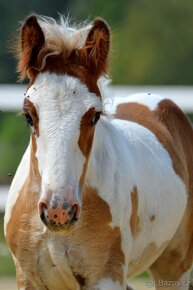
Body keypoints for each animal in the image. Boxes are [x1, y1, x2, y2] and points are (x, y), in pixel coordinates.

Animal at [3, 14, 193, 290]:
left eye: (95, 115)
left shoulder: (106, 275)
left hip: (175, 266)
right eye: (28, 114)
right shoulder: (28, 278)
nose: (59, 211)